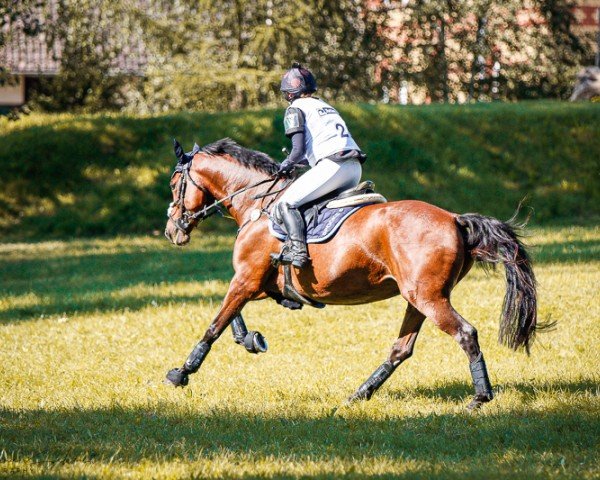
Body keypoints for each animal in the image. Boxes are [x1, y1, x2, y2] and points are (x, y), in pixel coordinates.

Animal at [163, 137, 540, 410]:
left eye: (173, 183)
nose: (171, 231)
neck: (259, 203)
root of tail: (454, 219)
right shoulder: (258, 283)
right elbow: (232, 319)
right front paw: (251, 339)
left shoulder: (246, 279)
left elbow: (216, 324)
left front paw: (181, 373)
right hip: (419, 298)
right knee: (401, 349)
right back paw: (359, 394)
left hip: (428, 298)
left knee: (465, 333)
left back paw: (479, 398)